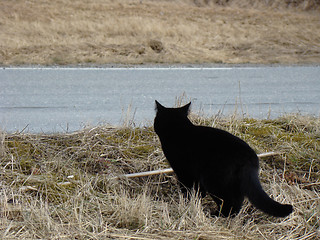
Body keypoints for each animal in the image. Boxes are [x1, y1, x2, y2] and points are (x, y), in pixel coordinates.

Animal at [154, 100, 294, 218]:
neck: (178, 129)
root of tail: (248, 156)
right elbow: (198, 191)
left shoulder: (183, 171)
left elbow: (187, 189)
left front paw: (187, 202)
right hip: (235, 182)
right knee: (237, 201)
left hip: (213, 180)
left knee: (228, 201)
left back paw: (218, 215)